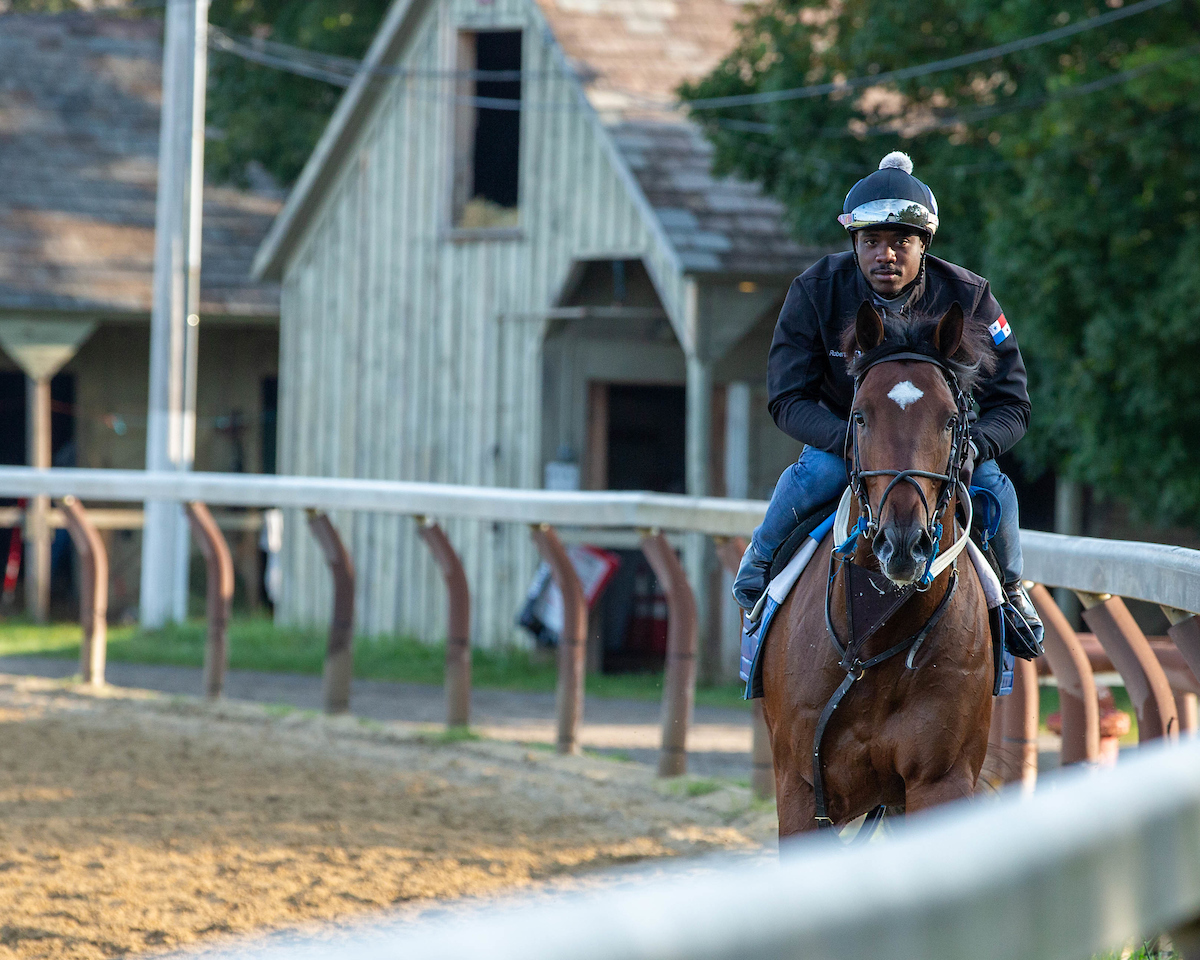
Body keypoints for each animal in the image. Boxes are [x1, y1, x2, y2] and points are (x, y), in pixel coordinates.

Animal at [763, 302, 998, 840]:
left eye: (951, 420)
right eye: (860, 415)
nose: (903, 543)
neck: (872, 638)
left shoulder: (940, 780)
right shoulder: (801, 788)